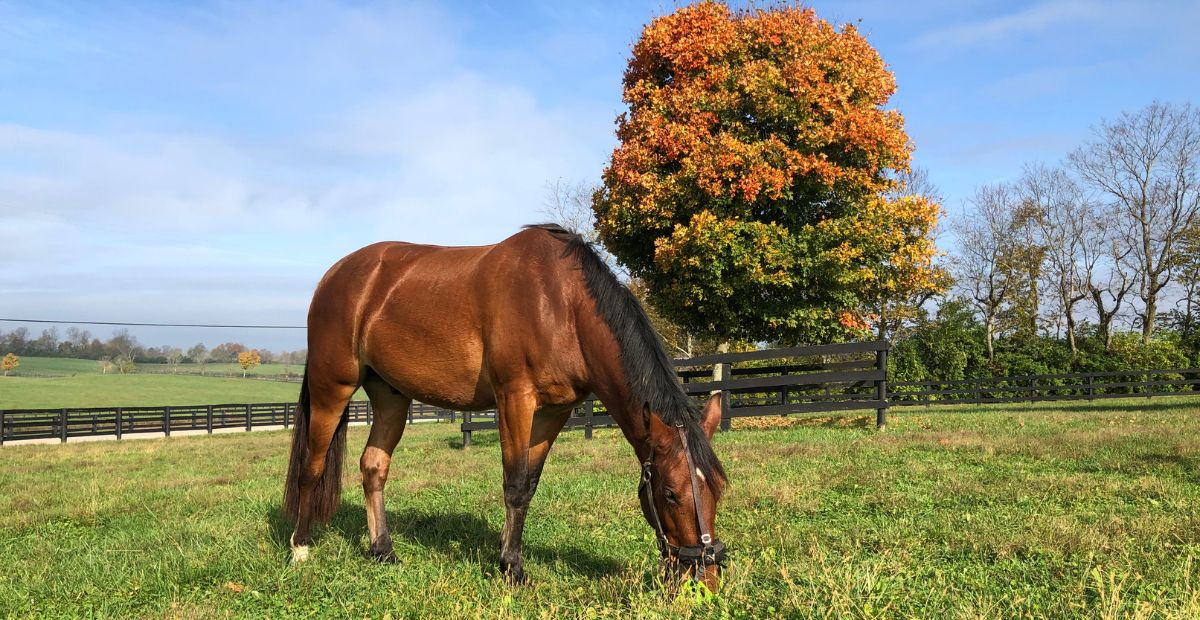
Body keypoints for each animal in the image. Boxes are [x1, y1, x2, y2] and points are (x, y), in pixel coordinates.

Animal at [285, 221, 724, 585]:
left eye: (718, 490)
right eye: (670, 493)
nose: (705, 578)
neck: (561, 305)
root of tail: (334, 275)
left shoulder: (554, 411)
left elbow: (529, 484)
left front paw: (505, 554)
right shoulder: (515, 399)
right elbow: (514, 485)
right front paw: (512, 568)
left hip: (391, 397)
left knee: (373, 467)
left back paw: (383, 551)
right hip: (332, 388)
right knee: (312, 466)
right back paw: (300, 548)